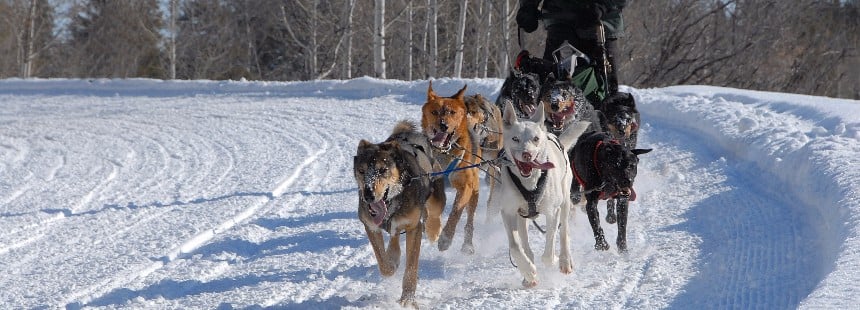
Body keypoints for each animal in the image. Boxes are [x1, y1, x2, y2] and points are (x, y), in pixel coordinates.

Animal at [352, 120, 444, 306]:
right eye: (362, 171)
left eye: (382, 170)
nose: (368, 195)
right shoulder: (371, 226)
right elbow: (383, 263)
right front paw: (391, 262)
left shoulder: (414, 228)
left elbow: (411, 267)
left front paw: (407, 299)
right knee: (394, 235)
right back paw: (394, 253)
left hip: (435, 192)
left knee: (434, 214)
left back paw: (433, 230)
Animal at [422, 82, 484, 254]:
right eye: (435, 112)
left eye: (452, 112)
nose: (443, 125)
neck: (444, 153)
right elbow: (431, 210)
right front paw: (432, 229)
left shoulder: (465, 187)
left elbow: (456, 212)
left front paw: (446, 238)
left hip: (474, 192)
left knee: (469, 220)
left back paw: (468, 244)